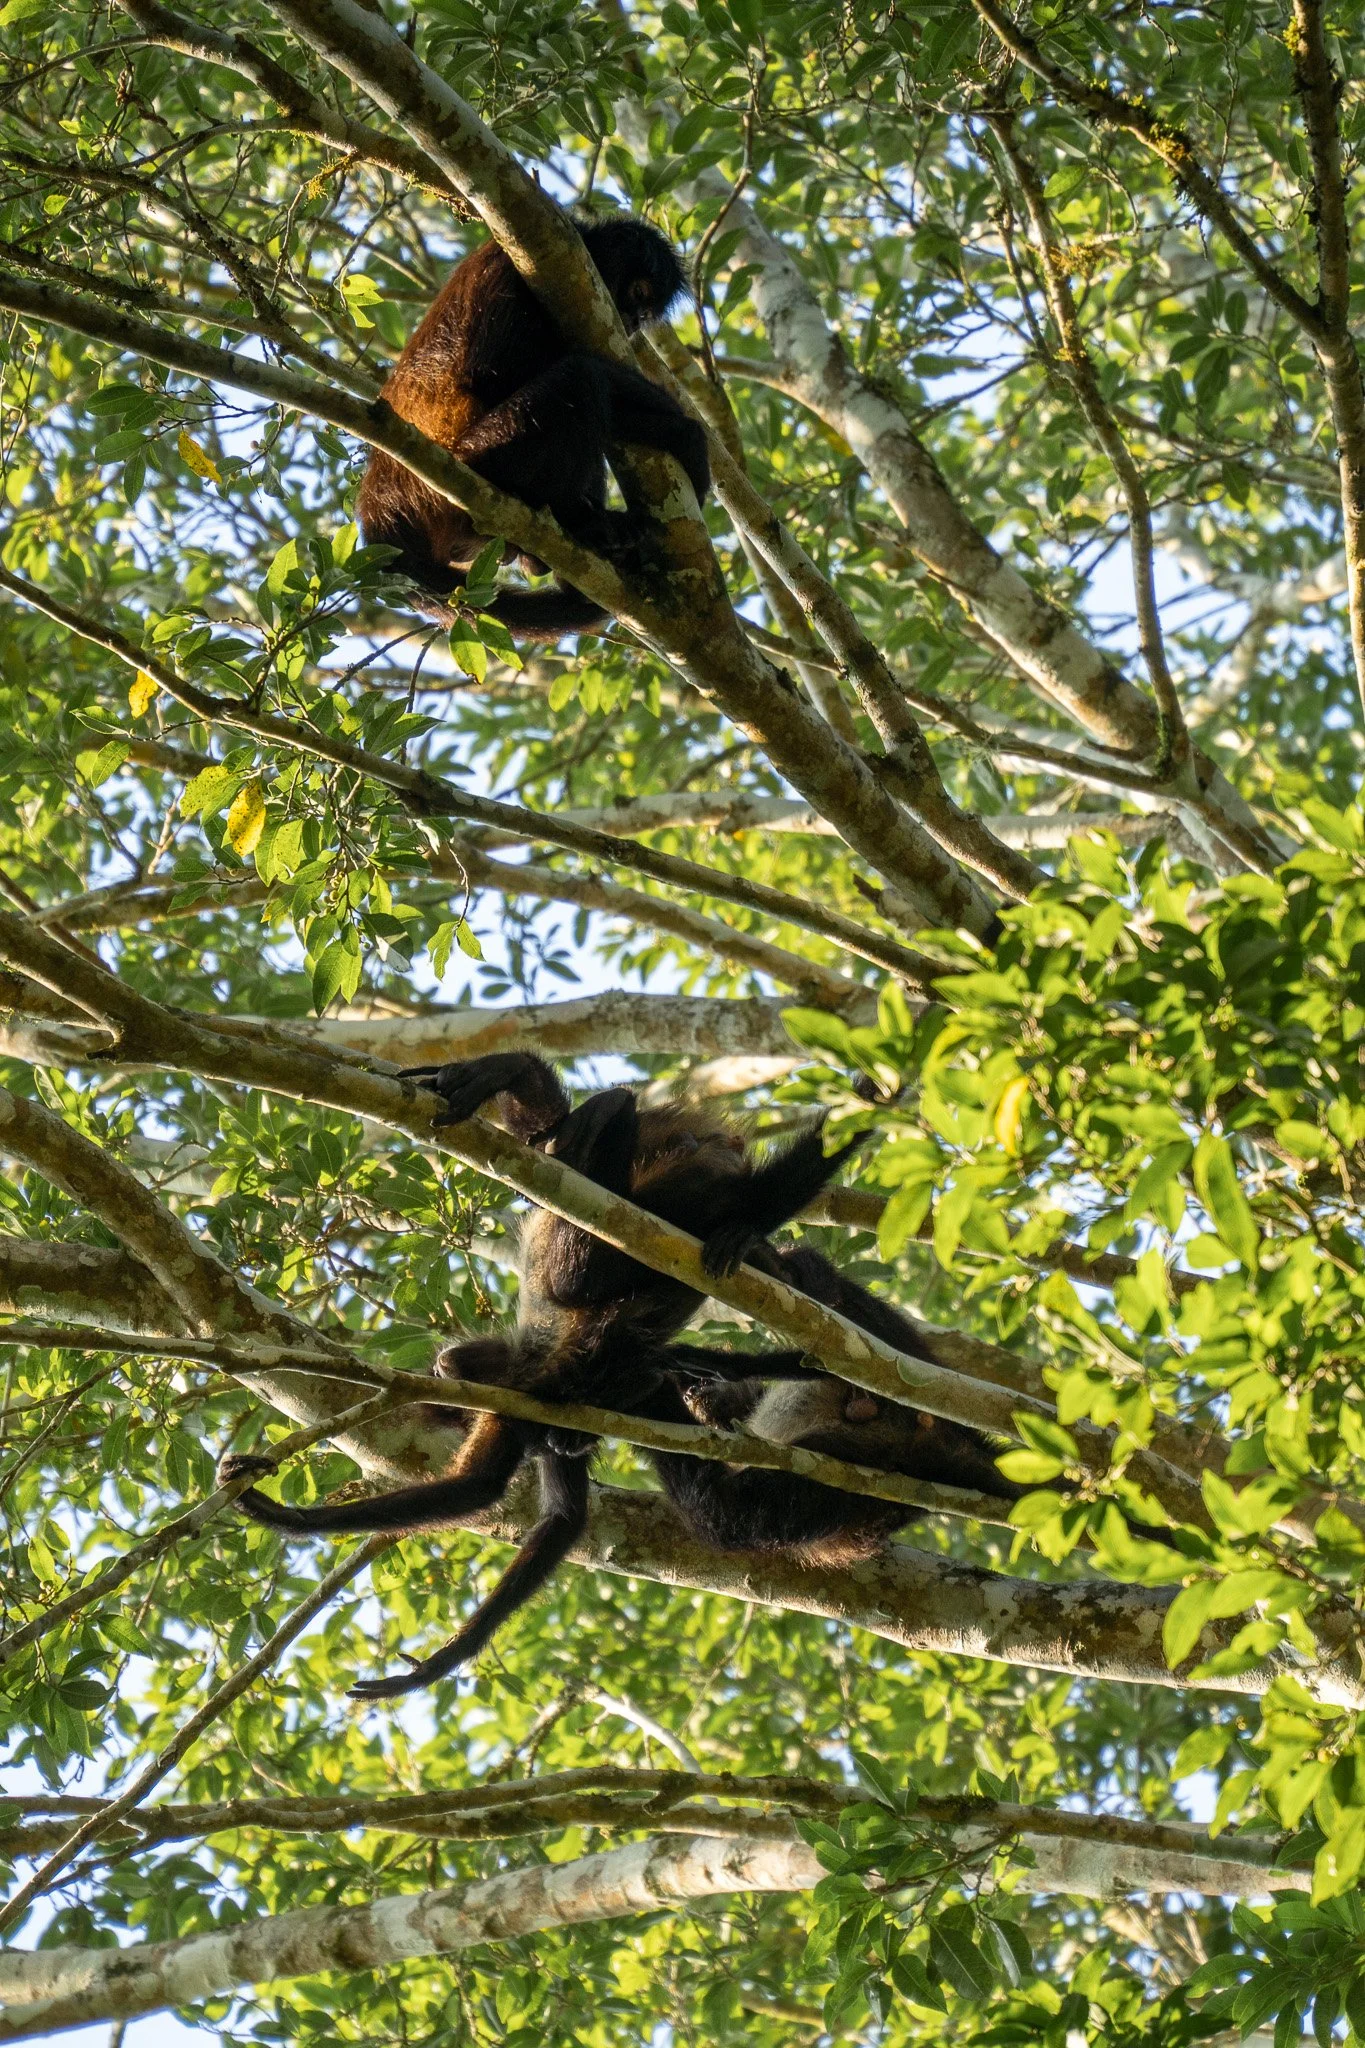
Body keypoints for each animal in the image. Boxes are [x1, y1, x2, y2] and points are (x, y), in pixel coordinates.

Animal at [217, 1052, 860, 1701]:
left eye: (576, 1439)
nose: (568, 1444)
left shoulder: (583, 1401)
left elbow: (526, 1506)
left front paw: (435, 1657)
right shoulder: (561, 1396)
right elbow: (502, 1487)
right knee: (575, 1250)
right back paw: (564, 1099)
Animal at [355, 215, 711, 640]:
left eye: (647, 312)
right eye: (638, 292)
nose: (632, 322)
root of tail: (382, 502)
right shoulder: (509, 268)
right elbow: (496, 374)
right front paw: (684, 431)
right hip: (482, 460)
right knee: (581, 376)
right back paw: (576, 521)